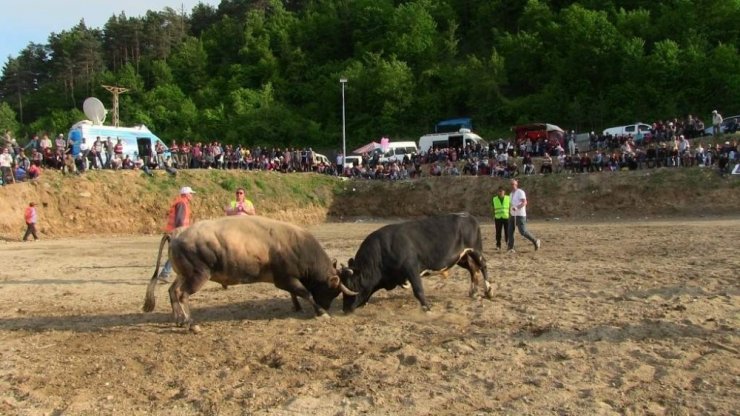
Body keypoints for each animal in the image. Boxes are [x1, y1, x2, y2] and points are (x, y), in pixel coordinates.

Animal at [340, 211, 492, 312]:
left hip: (476, 250)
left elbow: (418, 290)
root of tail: (467, 215)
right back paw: (473, 292)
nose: (345, 308)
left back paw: (488, 292)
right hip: (461, 257)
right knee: (473, 269)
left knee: (483, 266)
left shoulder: (411, 268)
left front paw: (427, 308)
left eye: (351, 285)